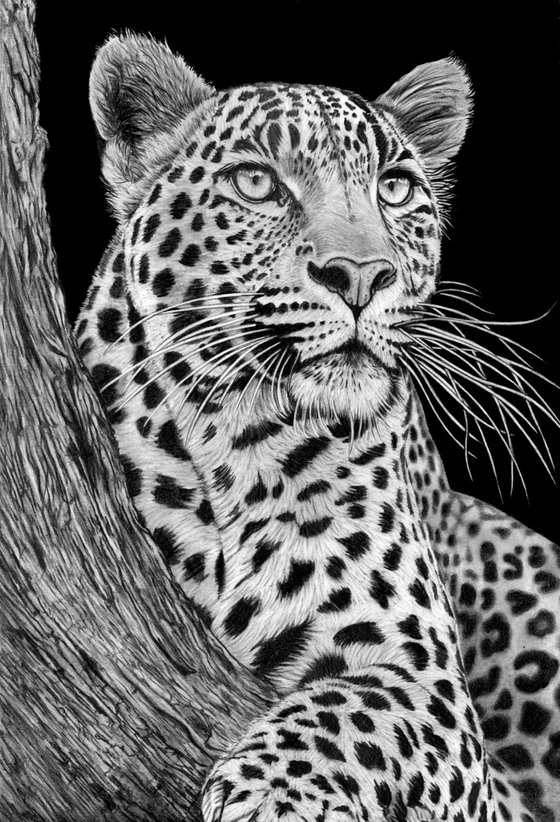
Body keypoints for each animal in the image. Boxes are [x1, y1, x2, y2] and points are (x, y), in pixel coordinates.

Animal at [75, 34, 560, 822]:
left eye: (394, 189)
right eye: (256, 182)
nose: (362, 275)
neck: (234, 444)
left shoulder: (427, 678)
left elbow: (357, 708)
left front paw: (273, 792)